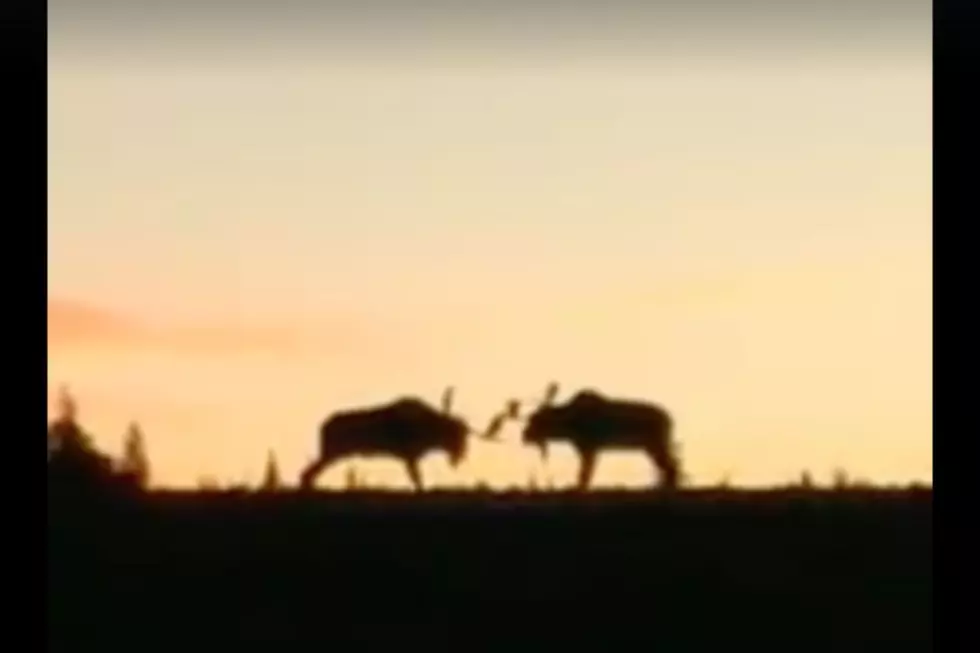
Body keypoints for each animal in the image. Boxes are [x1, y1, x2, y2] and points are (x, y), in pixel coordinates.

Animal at [298, 388, 498, 488]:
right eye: (454, 432)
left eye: (465, 435)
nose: (461, 454)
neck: (430, 431)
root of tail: (322, 426)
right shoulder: (410, 456)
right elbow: (418, 482)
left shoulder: (410, 457)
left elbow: (417, 481)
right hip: (331, 453)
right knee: (307, 474)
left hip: (331, 454)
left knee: (308, 474)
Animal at [510, 382, 684, 488]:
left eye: (535, 421)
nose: (524, 435)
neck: (566, 427)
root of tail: (670, 419)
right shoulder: (588, 449)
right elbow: (584, 473)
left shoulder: (590, 448)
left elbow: (584, 474)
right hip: (650, 447)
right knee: (670, 465)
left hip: (656, 444)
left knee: (671, 466)